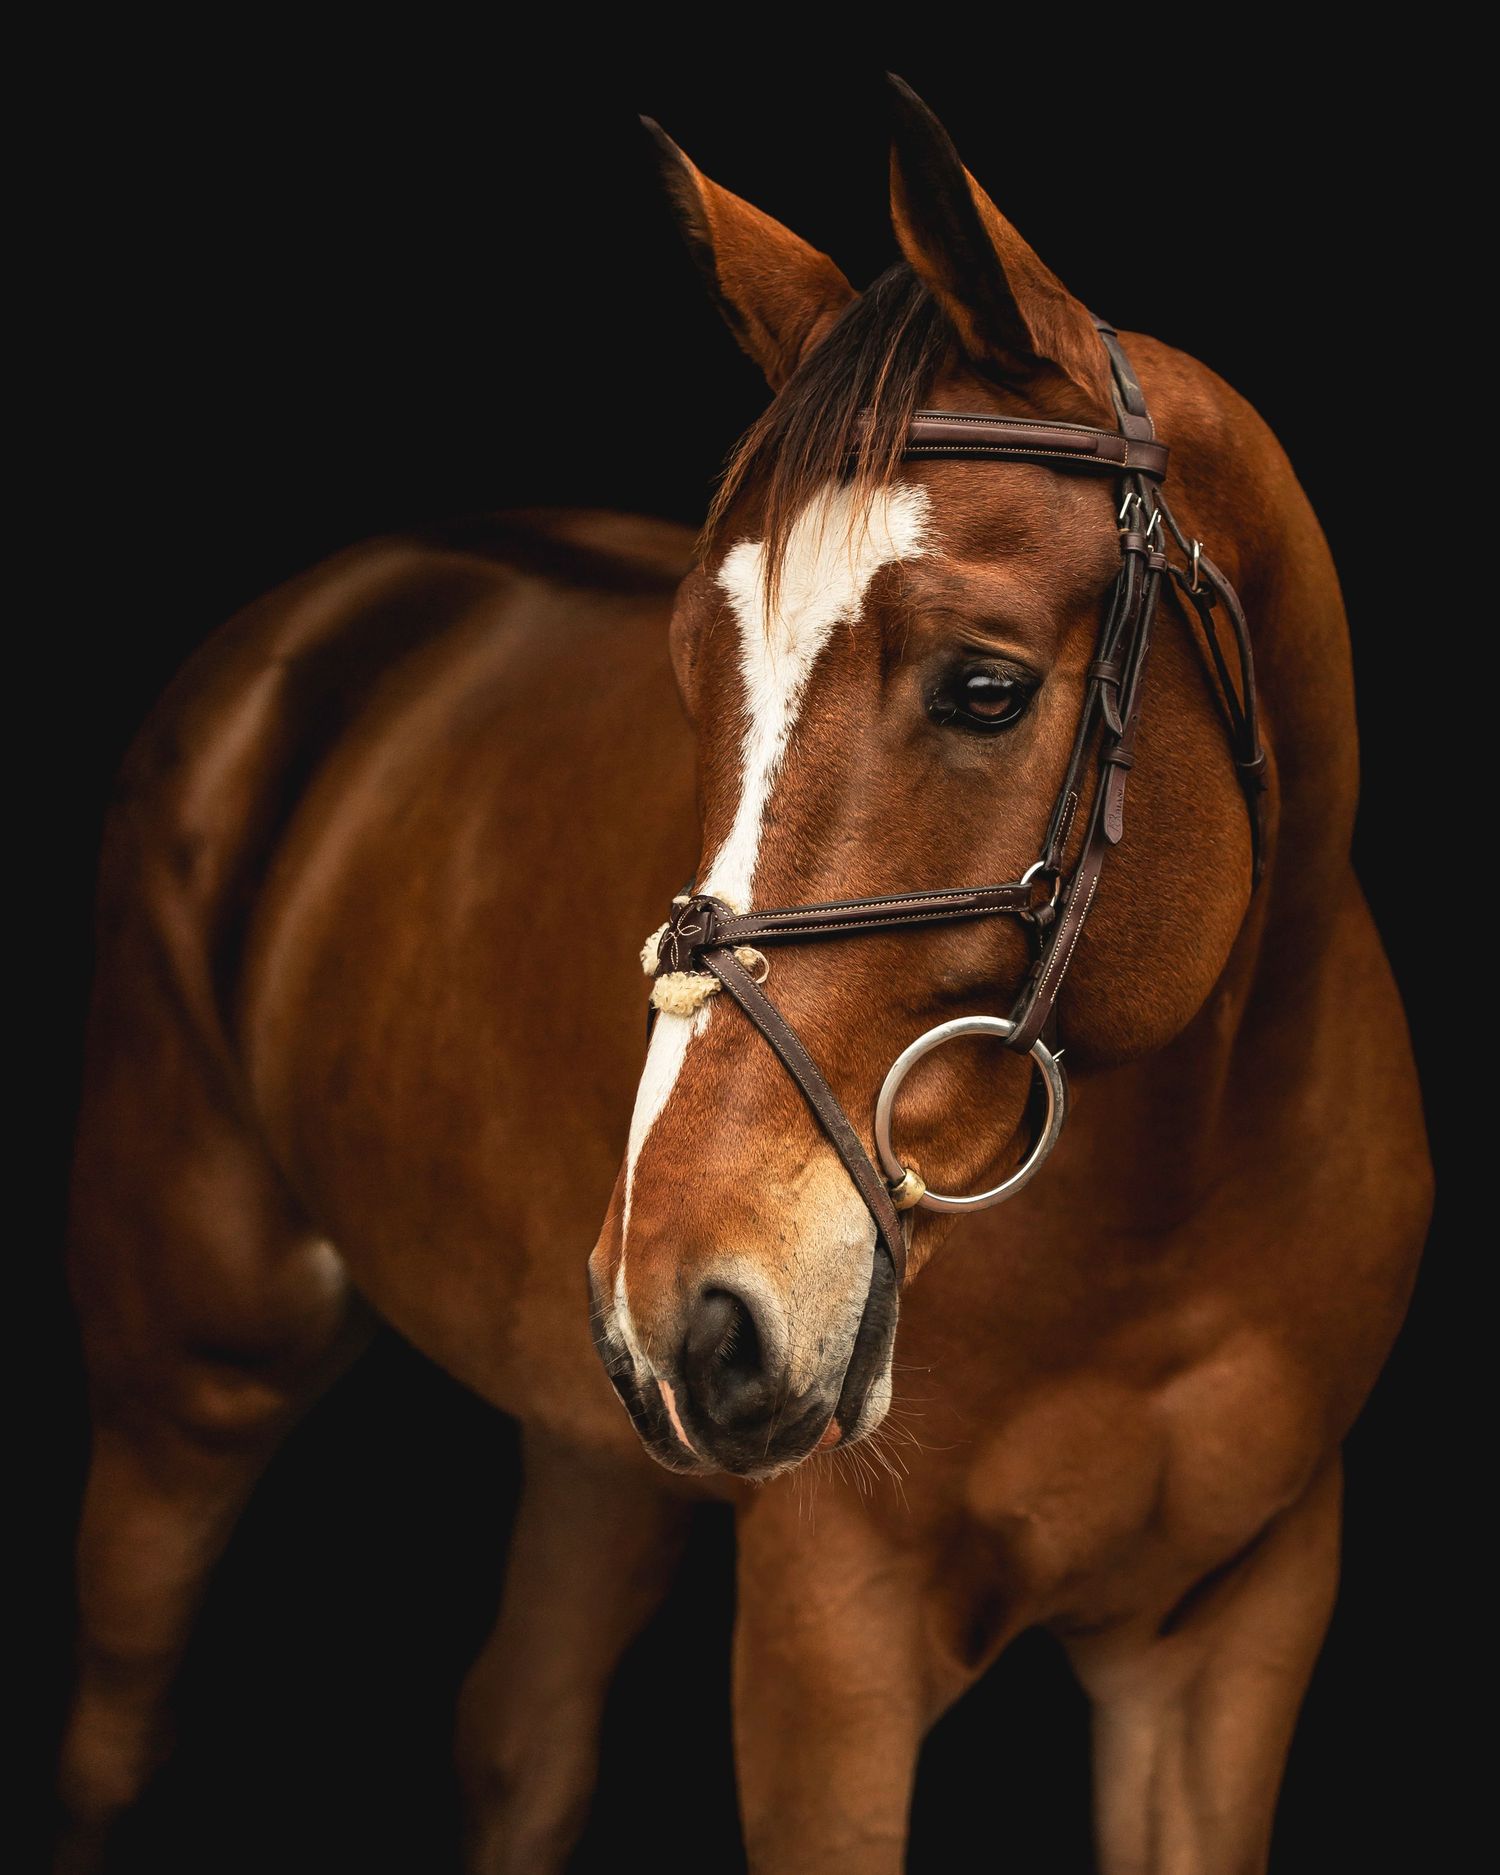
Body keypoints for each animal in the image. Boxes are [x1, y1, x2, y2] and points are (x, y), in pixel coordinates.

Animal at [56, 76, 1431, 1875]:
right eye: (692, 672)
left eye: (985, 687)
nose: (683, 1302)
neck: (1176, 1217)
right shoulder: (829, 1639)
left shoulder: (1231, 1639)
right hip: (191, 1381)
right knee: (115, 1731)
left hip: (597, 1451)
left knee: (519, 1735)